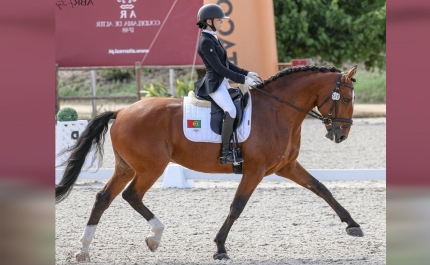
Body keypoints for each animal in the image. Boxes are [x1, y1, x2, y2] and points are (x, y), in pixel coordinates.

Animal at [55, 65, 362, 260]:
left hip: (126, 167)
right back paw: (155, 236)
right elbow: (237, 206)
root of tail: (121, 111)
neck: (278, 109)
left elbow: (322, 188)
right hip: (151, 167)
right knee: (131, 195)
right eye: (347, 98)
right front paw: (220, 247)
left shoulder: (286, 167)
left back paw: (84, 249)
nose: (341, 135)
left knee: (103, 198)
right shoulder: (255, 170)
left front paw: (352, 224)